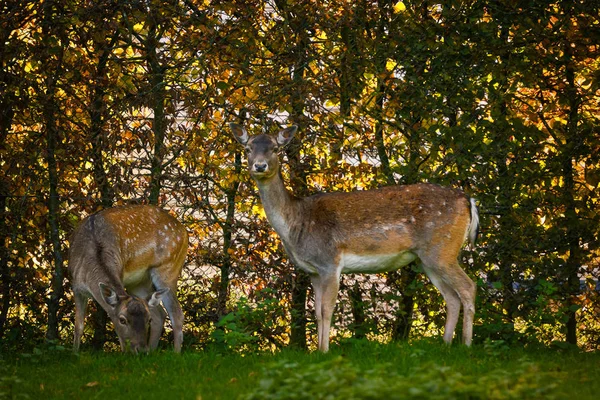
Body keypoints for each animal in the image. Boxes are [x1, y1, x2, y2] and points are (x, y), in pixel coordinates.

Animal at [67, 205, 188, 352]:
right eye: (122, 320)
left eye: (147, 320)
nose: (141, 350)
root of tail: (185, 232)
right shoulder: (76, 287)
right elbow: (78, 326)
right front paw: (75, 352)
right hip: (138, 283)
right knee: (159, 314)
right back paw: (152, 351)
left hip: (168, 269)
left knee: (176, 314)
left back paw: (175, 353)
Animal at [230, 123, 478, 352]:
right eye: (248, 148)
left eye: (275, 148)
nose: (259, 165)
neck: (297, 223)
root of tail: (468, 200)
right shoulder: (313, 271)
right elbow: (316, 312)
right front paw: (317, 351)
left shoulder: (330, 261)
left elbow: (327, 309)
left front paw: (325, 351)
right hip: (427, 258)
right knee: (451, 296)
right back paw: (446, 344)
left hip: (443, 249)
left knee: (468, 287)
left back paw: (466, 345)